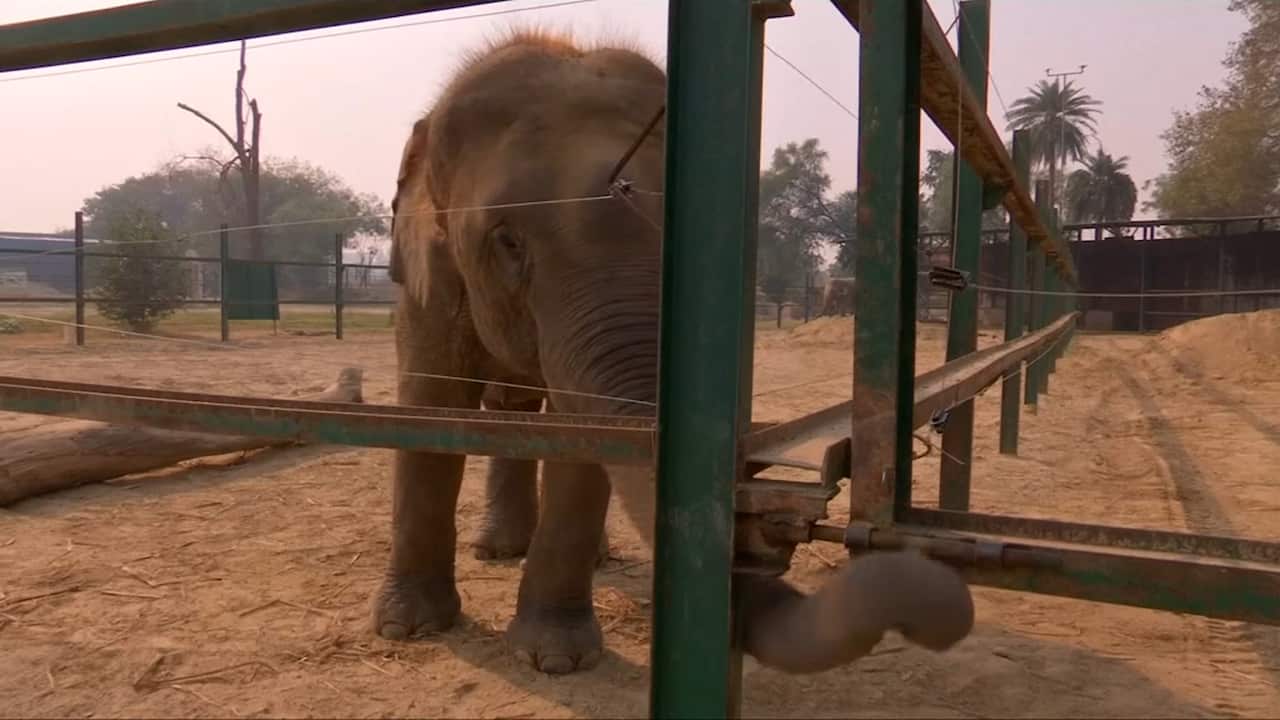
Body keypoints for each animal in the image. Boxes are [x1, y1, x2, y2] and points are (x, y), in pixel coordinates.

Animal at [374, 29, 976, 676]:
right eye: (507, 241)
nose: (762, 535)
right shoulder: (426, 282)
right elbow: (429, 408)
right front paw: (407, 627)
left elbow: (584, 439)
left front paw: (555, 658)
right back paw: (497, 550)